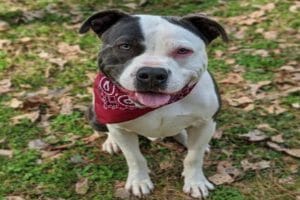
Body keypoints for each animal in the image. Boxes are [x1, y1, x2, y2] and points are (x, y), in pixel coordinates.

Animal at [79, 10, 227, 198]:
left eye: (183, 51)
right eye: (125, 46)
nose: (152, 73)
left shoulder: (206, 123)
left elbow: (194, 157)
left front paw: (195, 182)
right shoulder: (121, 129)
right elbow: (134, 158)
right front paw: (139, 181)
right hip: (94, 115)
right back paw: (111, 142)